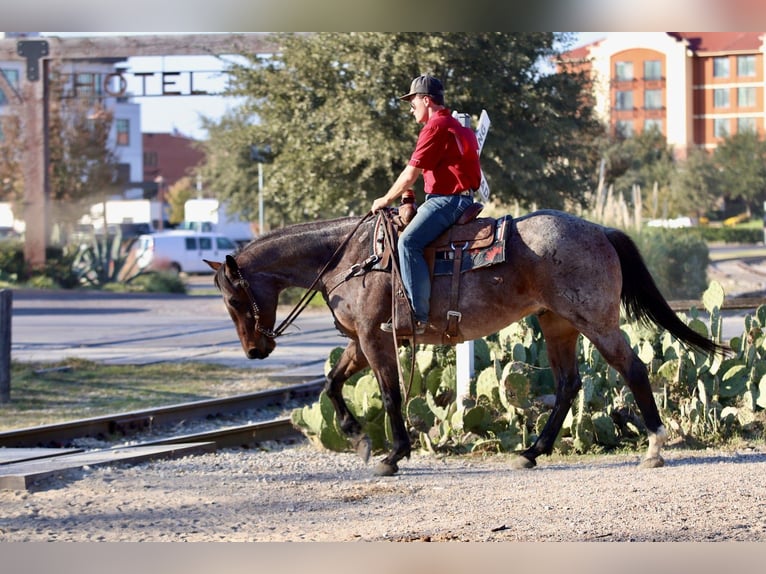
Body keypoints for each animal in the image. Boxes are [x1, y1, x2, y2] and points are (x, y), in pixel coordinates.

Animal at [206, 209, 726, 476]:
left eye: (232, 299)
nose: (254, 351)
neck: (350, 259)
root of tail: (599, 230)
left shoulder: (376, 339)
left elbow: (390, 394)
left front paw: (393, 453)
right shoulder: (359, 342)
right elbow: (332, 384)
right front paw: (358, 439)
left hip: (595, 322)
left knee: (632, 369)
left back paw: (654, 447)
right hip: (557, 323)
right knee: (567, 386)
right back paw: (531, 452)